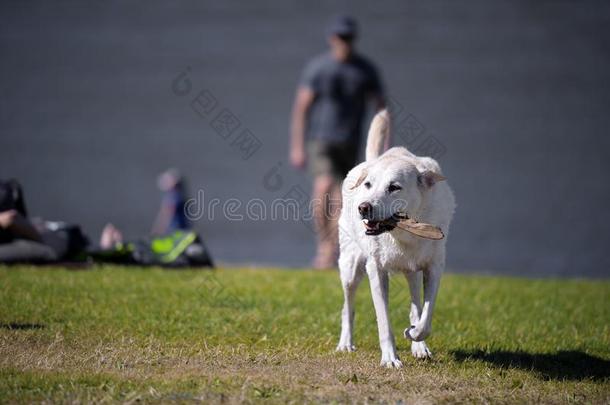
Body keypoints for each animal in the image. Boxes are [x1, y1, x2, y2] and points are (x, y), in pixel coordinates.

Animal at [338, 109, 452, 368]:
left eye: (394, 187)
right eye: (368, 185)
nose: (363, 207)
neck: (402, 233)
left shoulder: (434, 267)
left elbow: (425, 318)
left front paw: (414, 335)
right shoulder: (376, 270)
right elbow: (383, 322)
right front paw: (390, 359)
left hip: (412, 272)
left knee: (415, 304)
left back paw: (419, 346)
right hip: (350, 268)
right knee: (348, 307)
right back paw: (345, 343)